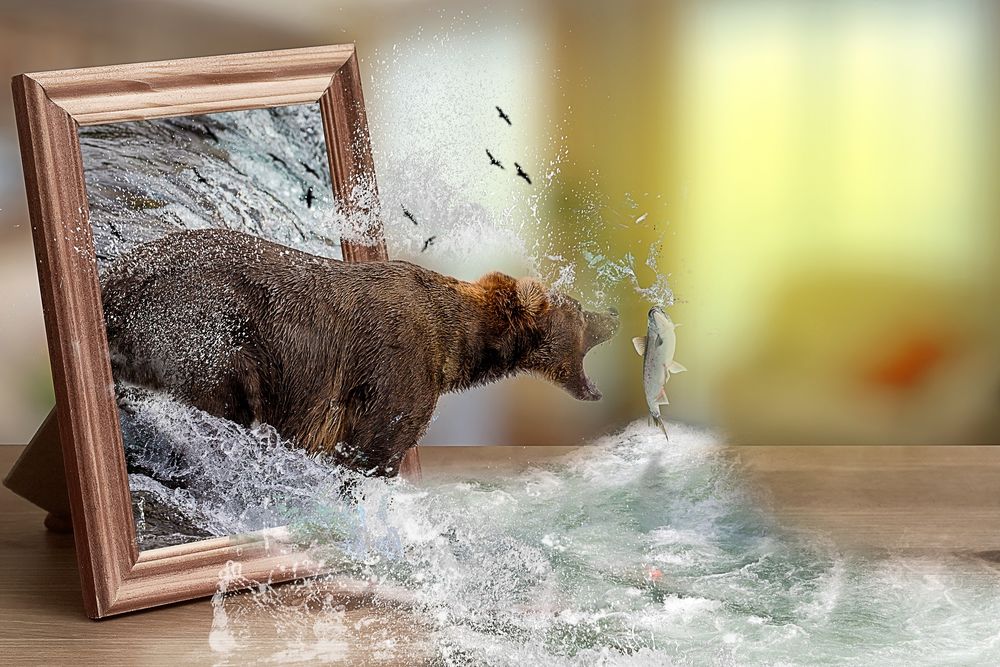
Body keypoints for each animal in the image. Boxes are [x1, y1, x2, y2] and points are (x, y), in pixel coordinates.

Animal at [100, 228, 619, 476]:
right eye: (578, 308)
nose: (613, 312)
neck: (456, 343)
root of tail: (116, 278)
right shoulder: (395, 369)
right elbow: (374, 448)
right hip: (207, 327)